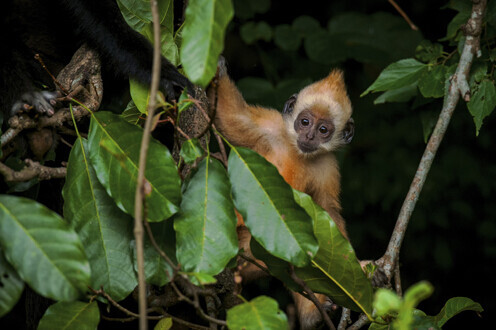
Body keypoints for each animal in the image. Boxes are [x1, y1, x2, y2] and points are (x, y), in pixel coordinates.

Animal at [212, 60, 352, 330]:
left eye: (323, 129)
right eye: (304, 122)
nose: (309, 136)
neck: (298, 151)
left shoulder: (328, 166)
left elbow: (328, 211)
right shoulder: (270, 126)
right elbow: (232, 117)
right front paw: (217, 71)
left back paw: (312, 316)